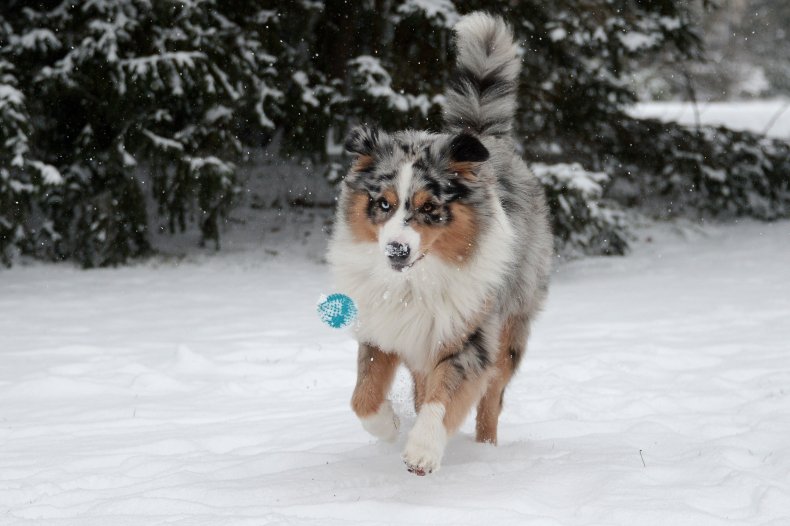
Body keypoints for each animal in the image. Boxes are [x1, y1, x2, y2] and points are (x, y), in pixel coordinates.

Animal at [326, 12, 552, 476]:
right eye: (383, 203)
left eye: (429, 208)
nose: (396, 250)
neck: (416, 282)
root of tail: (485, 139)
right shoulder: (384, 328)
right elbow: (363, 396)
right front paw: (389, 427)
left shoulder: (470, 335)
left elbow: (444, 397)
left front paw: (422, 450)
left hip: (511, 325)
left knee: (492, 398)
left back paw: (486, 450)